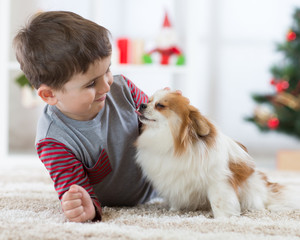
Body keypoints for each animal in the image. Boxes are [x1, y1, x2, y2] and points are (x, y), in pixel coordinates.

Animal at [136, 89, 300, 218]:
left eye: (160, 105)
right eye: (149, 100)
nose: (142, 105)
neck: (174, 144)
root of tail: (265, 188)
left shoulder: (217, 180)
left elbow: (219, 202)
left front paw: (222, 218)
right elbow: (176, 197)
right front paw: (173, 210)